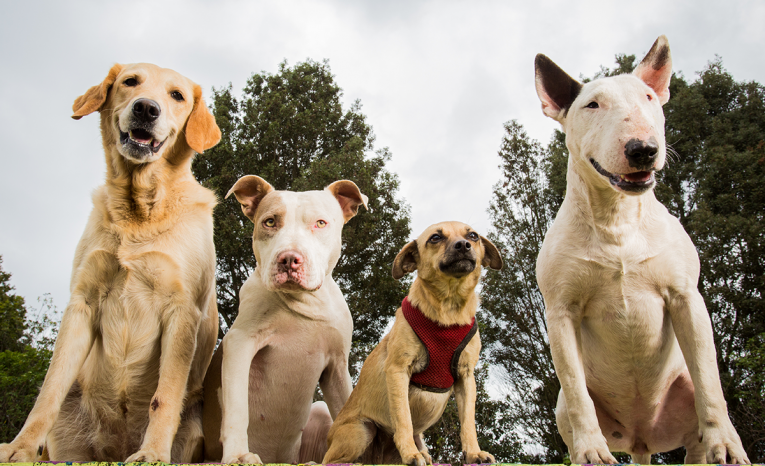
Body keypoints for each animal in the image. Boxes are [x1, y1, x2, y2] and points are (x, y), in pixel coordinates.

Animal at [201, 175, 368, 462]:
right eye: (269, 222)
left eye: (320, 223)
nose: (289, 259)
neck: (304, 302)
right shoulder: (240, 343)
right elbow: (237, 408)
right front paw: (238, 455)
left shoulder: (336, 366)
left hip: (318, 411)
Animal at [320, 220, 502, 464]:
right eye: (435, 238)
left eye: (473, 236)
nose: (463, 245)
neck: (449, 310)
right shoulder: (398, 370)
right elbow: (403, 418)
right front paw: (410, 453)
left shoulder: (466, 377)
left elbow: (468, 424)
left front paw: (473, 453)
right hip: (360, 431)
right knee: (329, 460)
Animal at [536, 34, 748, 464]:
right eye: (592, 105)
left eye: (649, 97)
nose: (643, 149)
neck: (617, 218)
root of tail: (640, 438)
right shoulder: (560, 310)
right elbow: (577, 391)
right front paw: (593, 452)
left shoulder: (686, 297)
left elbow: (710, 380)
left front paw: (730, 446)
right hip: (564, 408)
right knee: (575, 406)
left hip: (682, 407)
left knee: (695, 432)